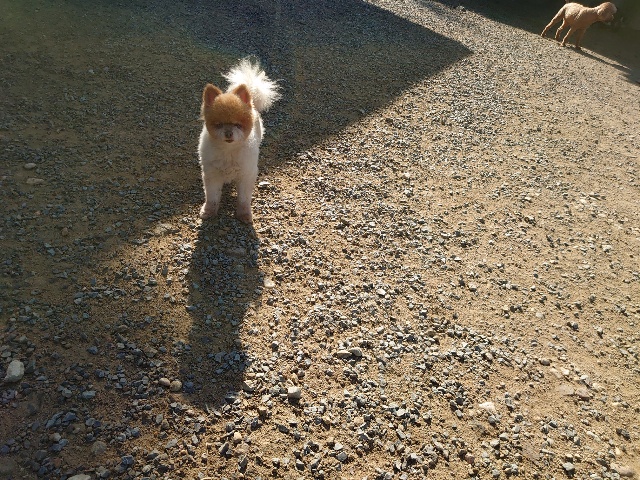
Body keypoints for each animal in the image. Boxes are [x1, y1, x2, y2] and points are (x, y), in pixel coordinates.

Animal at [198, 58, 279, 223]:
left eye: (237, 125)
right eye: (219, 125)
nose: (228, 132)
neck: (229, 152)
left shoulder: (246, 175)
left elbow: (243, 199)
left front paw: (244, 214)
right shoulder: (212, 174)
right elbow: (212, 197)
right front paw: (208, 211)